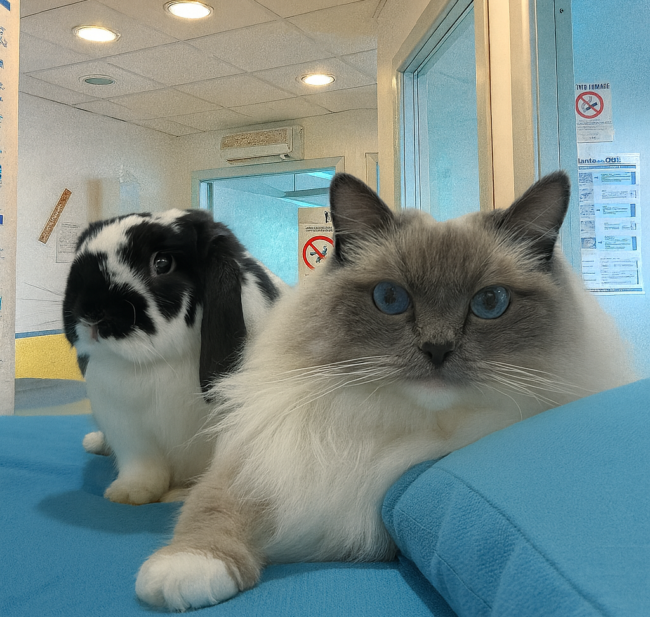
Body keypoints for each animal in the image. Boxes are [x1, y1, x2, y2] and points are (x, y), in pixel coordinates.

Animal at [63, 208, 287, 505]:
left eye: (162, 263)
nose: (89, 311)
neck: (156, 362)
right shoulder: (130, 433)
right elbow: (142, 469)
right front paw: (128, 494)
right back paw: (94, 443)